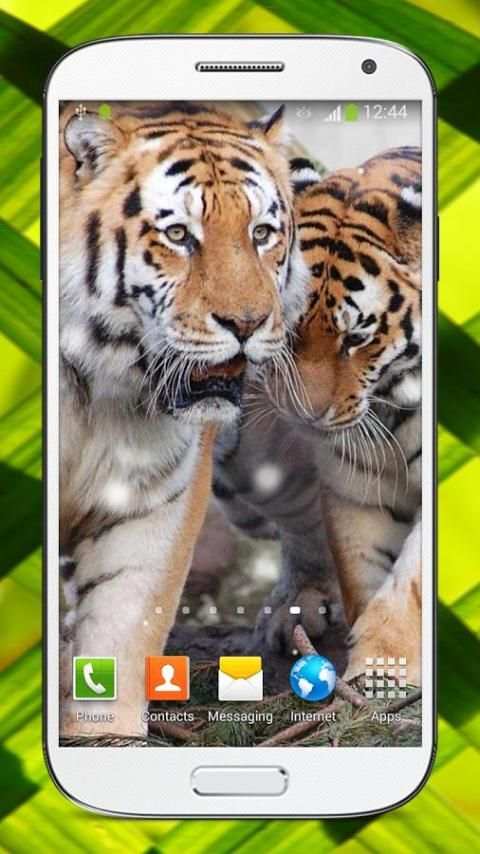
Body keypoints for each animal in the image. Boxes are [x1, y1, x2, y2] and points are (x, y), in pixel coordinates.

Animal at [58, 101, 309, 737]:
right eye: (178, 236)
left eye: (261, 234)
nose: (247, 322)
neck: (98, 387)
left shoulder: (147, 507)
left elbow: (122, 633)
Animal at [214, 147, 423, 686]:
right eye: (287, 327)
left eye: (357, 337)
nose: (305, 416)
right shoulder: (356, 485)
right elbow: (360, 570)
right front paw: (374, 674)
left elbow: (410, 581)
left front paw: (385, 665)